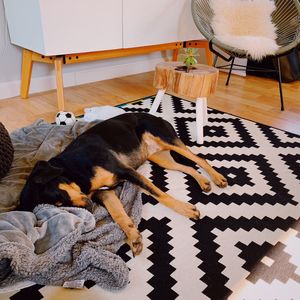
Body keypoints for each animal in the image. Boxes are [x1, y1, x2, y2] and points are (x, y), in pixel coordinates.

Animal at [19, 112, 227, 255]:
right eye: (60, 205)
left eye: (60, 195)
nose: (89, 206)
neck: (73, 169)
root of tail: (155, 115)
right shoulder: (104, 192)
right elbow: (118, 215)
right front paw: (133, 237)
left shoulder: (126, 172)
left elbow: (159, 194)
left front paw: (185, 209)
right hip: (159, 157)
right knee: (186, 167)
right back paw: (203, 182)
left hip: (165, 139)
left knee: (198, 158)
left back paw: (217, 178)